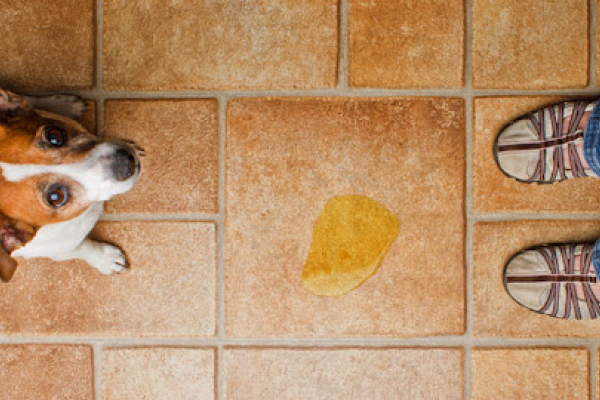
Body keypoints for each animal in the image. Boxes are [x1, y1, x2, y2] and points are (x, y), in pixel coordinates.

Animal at [0, 90, 142, 284]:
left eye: (54, 136)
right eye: (55, 197)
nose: (127, 162)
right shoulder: (57, 249)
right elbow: (83, 248)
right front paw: (105, 259)